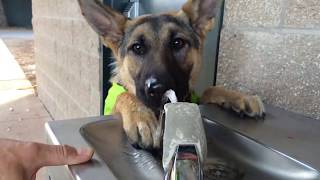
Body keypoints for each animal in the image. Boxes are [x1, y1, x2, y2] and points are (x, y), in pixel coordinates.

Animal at [77, 0, 264, 149]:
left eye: (177, 43)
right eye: (137, 47)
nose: (158, 89)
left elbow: (209, 90)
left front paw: (238, 97)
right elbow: (124, 95)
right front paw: (140, 117)